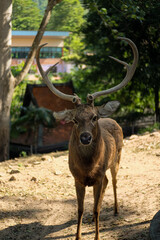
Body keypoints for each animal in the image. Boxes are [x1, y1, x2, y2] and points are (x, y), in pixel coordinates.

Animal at [36, 37, 139, 240]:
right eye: (75, 120)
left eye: (94, 117)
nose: (85, 137)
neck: (88, 167)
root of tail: (112, 118)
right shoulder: (77, 178)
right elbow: (81, 210)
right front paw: (78, 236)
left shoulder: (97, 177)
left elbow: (97, 209)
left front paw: (97, 236)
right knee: (106, 184)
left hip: (118, 156)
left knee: (114, 181)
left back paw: (116, 210)